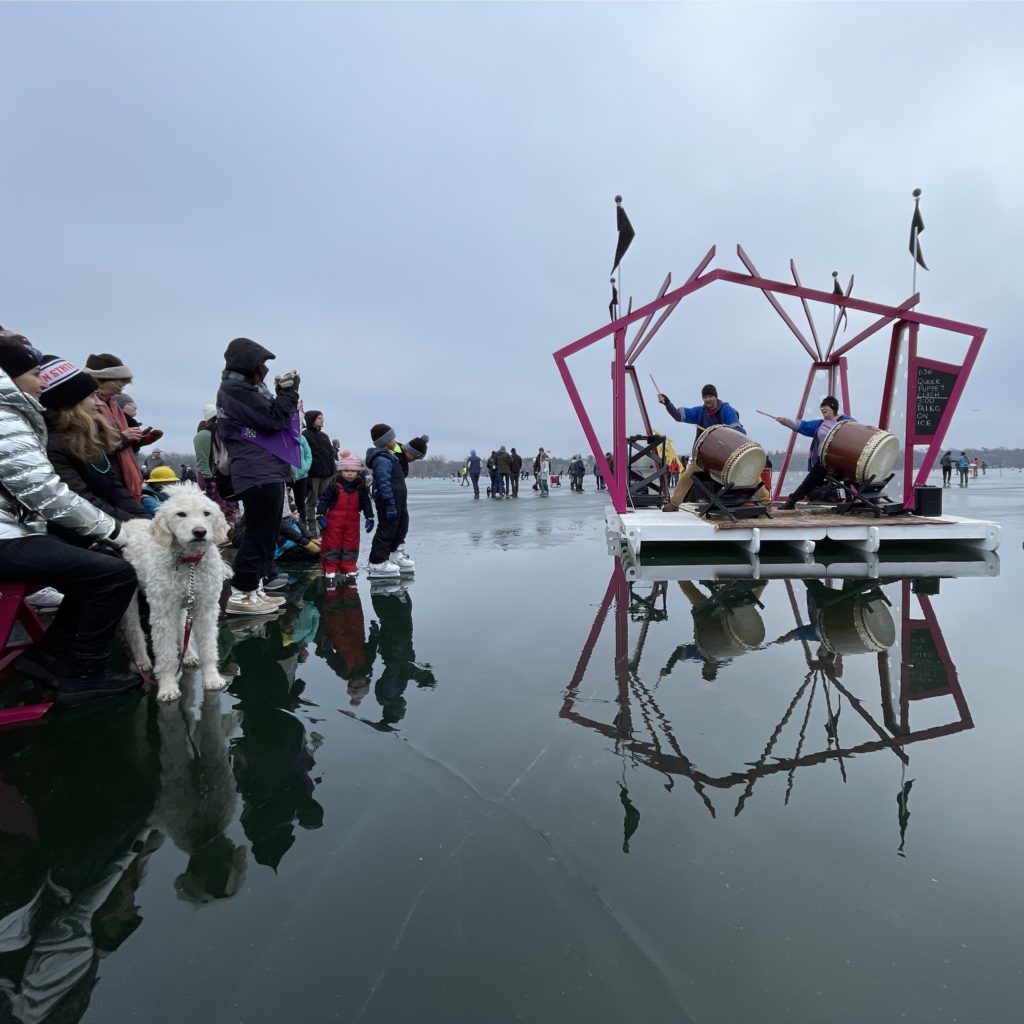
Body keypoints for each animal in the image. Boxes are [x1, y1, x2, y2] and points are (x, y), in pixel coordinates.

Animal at [118, 483, 233, 700]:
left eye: (207, 513)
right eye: (181, 514)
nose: (200, 532)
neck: (190, 564)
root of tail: (129, 522)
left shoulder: (205, 608)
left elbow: (208, 647)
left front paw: (212, 678)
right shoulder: (162, 613)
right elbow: (166, 654)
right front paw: (168, 687)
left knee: (181, 625)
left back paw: (188, 655)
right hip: (131, 597)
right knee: (133, 627)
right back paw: (142, 660)